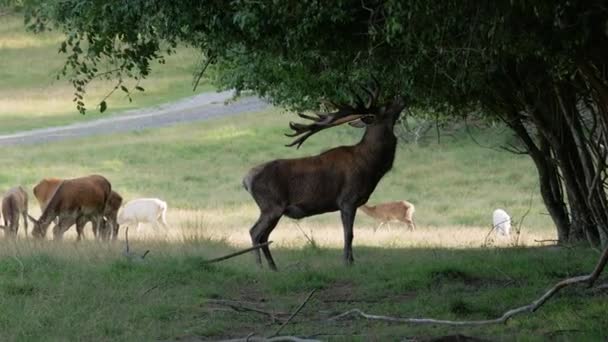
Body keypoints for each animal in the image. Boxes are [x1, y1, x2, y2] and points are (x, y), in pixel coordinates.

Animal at [241, 83, 404, 270]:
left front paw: (350, 261)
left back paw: (273, 268)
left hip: (273, 209)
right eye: (385, 106)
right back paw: (259, 267)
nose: (401, 98)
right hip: (271, 205)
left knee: (264, 236)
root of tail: (246, 180)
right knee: (255, 232)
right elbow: (349, 234)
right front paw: (347, 263)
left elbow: (349, 234)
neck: (370, 164)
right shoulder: (348, 200)